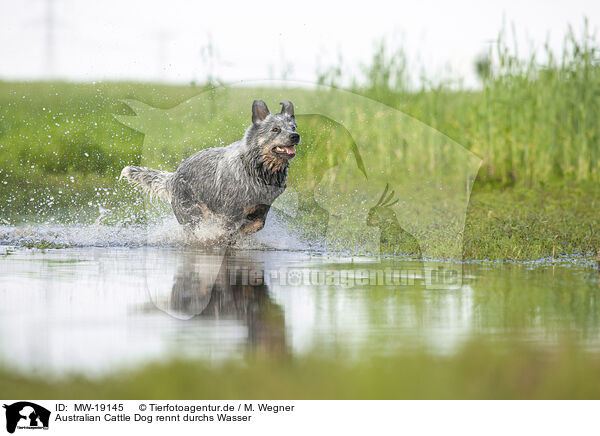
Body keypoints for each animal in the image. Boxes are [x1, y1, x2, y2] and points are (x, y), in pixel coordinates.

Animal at [122, 100, 300, 238]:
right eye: (275, 129)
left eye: (293, 127)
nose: (295, 136)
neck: (257, 169)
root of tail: (173, 176)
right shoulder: (228, 214)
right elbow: (227, 231)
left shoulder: (261, 210)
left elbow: (256, 225)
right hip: (191, 213)